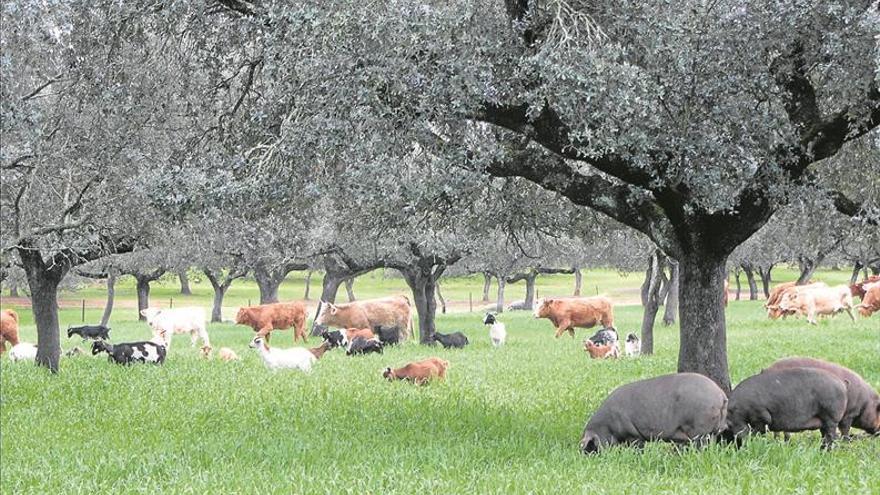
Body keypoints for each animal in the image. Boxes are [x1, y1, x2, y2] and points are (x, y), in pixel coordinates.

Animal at [576, 374, 728, 456]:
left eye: (591, 445)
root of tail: (721, 395)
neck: (607, 426)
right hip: (712, 431)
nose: (586, 456)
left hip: (699, 430)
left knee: (701, 446)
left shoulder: (634, 434)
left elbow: (637, 448)